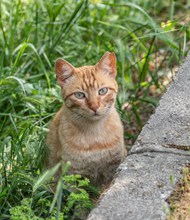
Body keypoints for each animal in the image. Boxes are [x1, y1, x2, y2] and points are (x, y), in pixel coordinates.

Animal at [46, 51, 127, 186]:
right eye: (79, 95)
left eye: (102, 91)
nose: (94, 107)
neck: (94, 135)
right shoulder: (72, 173)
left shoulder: (113, 166)